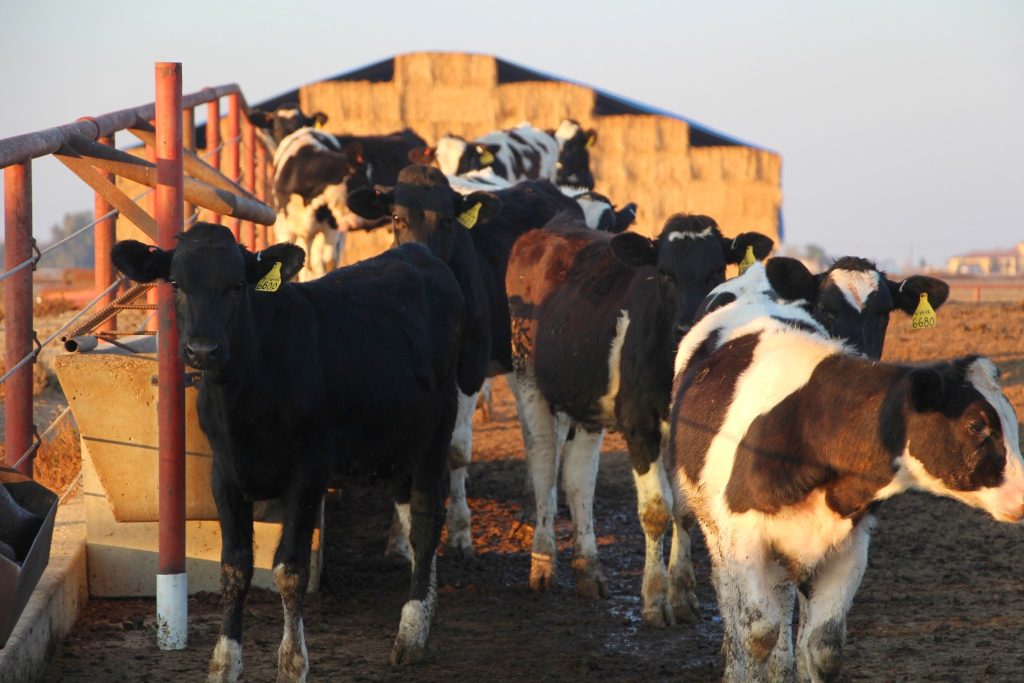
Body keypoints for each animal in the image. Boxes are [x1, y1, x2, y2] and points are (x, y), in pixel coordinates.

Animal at [111, 223, 464, 681]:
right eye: (176, 283)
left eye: (237, 286)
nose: (203, 350)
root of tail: (415, 253)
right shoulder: (225, 475)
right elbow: (234, 568)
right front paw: (224, 662)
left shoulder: (308, 473)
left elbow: (290, 570)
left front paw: (293, 662)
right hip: (396, 441)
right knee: (411, 518)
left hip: (438, 427)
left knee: (425, 520)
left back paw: (412, 632)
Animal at [505, 213, 773, 623]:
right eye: (663, 272)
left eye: (716, 270)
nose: (687, 326)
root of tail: (549, 228)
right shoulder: (638, 423)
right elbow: (656, 511)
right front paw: (655, 599)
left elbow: (684, 510)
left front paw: (683, 596)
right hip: (528, 380)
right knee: (544, 466)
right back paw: (543, 565)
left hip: (587, 403)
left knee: (578, 478)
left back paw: (589, 572)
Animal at [669, 300, 1024, 682]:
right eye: (975, 425)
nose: (1022, 495)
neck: (810, 428)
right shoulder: (744, 537)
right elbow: (757, 632)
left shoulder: (850, 546)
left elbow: (823, 646)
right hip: (712, 526)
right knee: (729, 595)